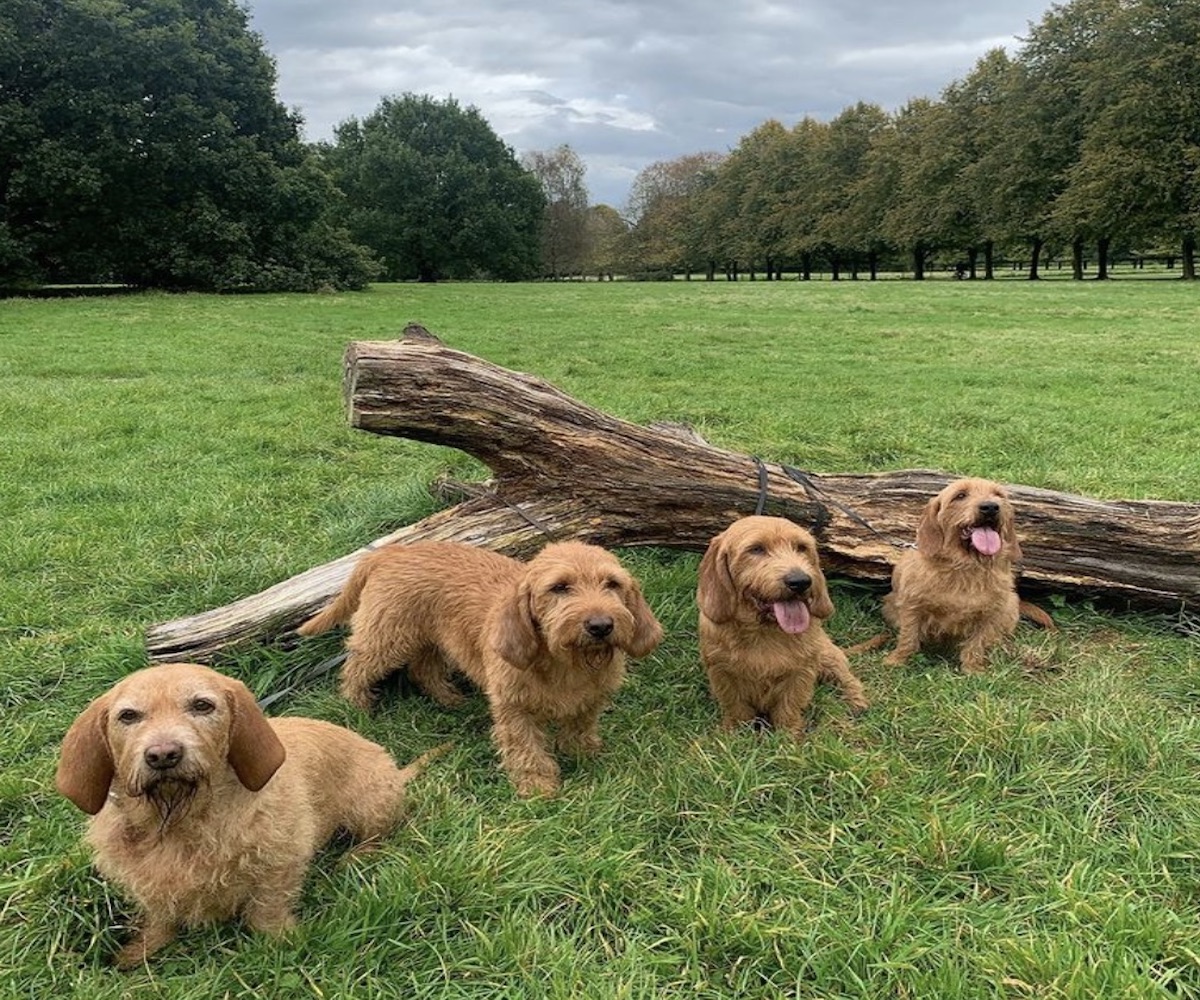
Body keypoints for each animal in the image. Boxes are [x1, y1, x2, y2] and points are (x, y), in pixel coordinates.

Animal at [56, 662, 439, 969]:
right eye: (129, 716)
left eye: (202, 705)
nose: (163, 754)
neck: (182, 820)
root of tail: (396, 770)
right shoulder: (150, 885)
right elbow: (159, 917)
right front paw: (141, 951)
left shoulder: (279, 864)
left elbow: (266, 910)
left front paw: (283, 944)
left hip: (370, 803)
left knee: (380, 834)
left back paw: (355, 856)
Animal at [296, 537, 662, 797]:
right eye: (559, 587)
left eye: (612, 584)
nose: (601, 625)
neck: (565, 662)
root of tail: (392, 551)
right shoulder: (514, 710)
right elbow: (526, 749)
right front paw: (538, 788)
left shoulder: (590, 701)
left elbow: (580, 727)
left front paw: (583, 753)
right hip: (387, 638)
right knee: (356, 667)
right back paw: (357, 705)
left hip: (432, 639)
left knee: (423, 669)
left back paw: (450, 700)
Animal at [696, 513, 873, 739]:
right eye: (756, 549)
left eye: (801, 547)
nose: (800, 581)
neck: (764, 632)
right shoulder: (722, 673)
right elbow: (737, 707)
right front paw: (735, 734)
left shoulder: (800, 674)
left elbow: (788, 708)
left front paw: (788, 738)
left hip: (828, 656)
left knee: (847, 678)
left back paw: (856, 700)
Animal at [883, 475, 1022, 672]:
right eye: (960, 495)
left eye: (998, 494)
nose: (990, 507)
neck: (964, 568)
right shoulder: (912, 606)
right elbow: (908, 638)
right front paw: (896, 660)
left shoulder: (990, 614)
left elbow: (977, 644)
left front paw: (973, 669)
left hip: (1011, 604)